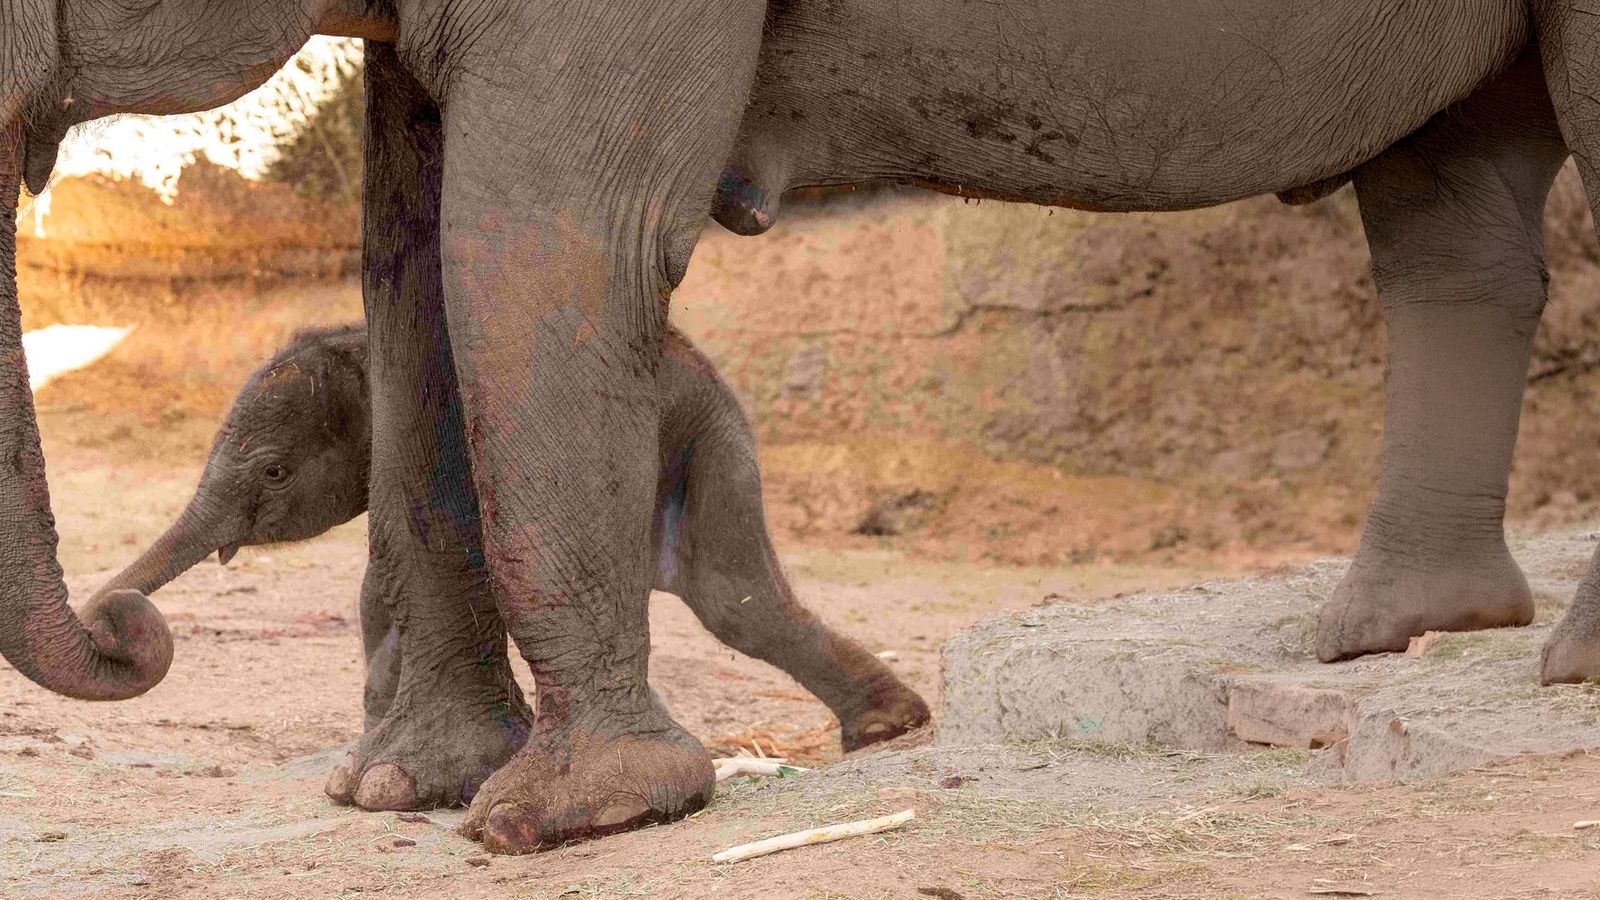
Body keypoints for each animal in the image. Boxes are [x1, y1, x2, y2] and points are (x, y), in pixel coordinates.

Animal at [92, 319, 930, 783]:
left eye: (273, 471)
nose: (114, 617)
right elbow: (378, 585)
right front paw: (378, 738)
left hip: (706, 437)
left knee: (733, 599)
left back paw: (887, 730)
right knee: (736, 600)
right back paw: (887, 728)